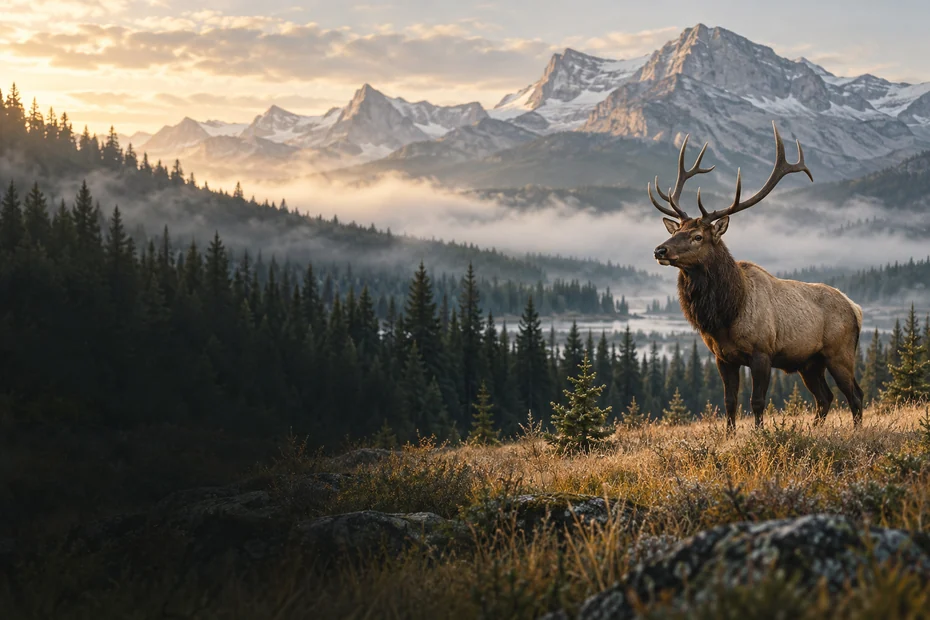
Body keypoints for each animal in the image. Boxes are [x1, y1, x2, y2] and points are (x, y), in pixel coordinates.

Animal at [647, 121, 863, 434]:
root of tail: (856, 308)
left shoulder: (762, 352)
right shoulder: (722, 357)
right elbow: (729, 401)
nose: (659, 250)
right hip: (810, 363)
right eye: (676, 230)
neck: (727, 314)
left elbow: (757, 401)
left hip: (840, 352)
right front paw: (729, 434)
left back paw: (857, 430)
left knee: (854, 394)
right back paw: (815, 429)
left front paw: (760, 434)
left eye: (698, 236)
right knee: (825, 397)